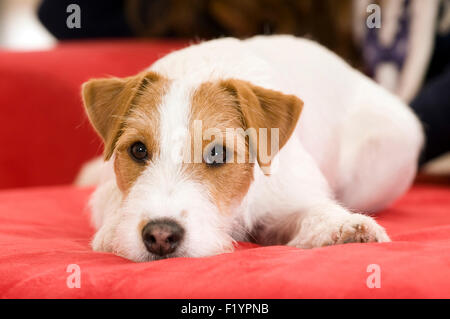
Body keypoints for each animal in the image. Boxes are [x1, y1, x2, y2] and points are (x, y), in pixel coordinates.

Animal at [80, 36, 422, 264]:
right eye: (138, 150)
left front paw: (345, 227)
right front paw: (113, 231)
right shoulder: (104, 195)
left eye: (217, 153)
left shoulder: (289, 197)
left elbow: (314, 210)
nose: (161, 236)